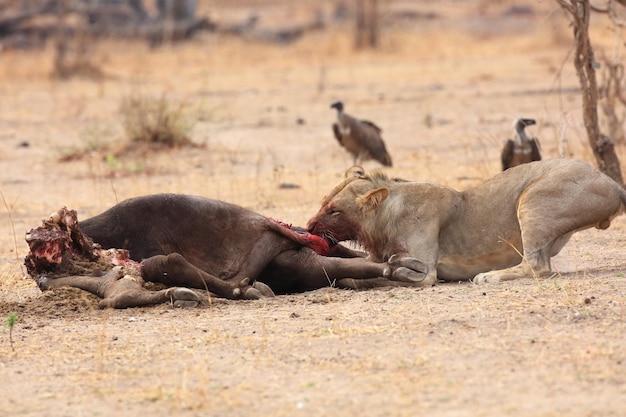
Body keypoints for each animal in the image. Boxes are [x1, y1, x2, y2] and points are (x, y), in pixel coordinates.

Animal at [306, 158, 624, 284]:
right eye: (324, 202)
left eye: (334, 210)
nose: (308, 226)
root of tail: (611, 181)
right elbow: (359, 271)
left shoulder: (427, 270)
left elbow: (396, 273)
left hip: (533, 200)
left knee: (538, 265)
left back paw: (488, 276)